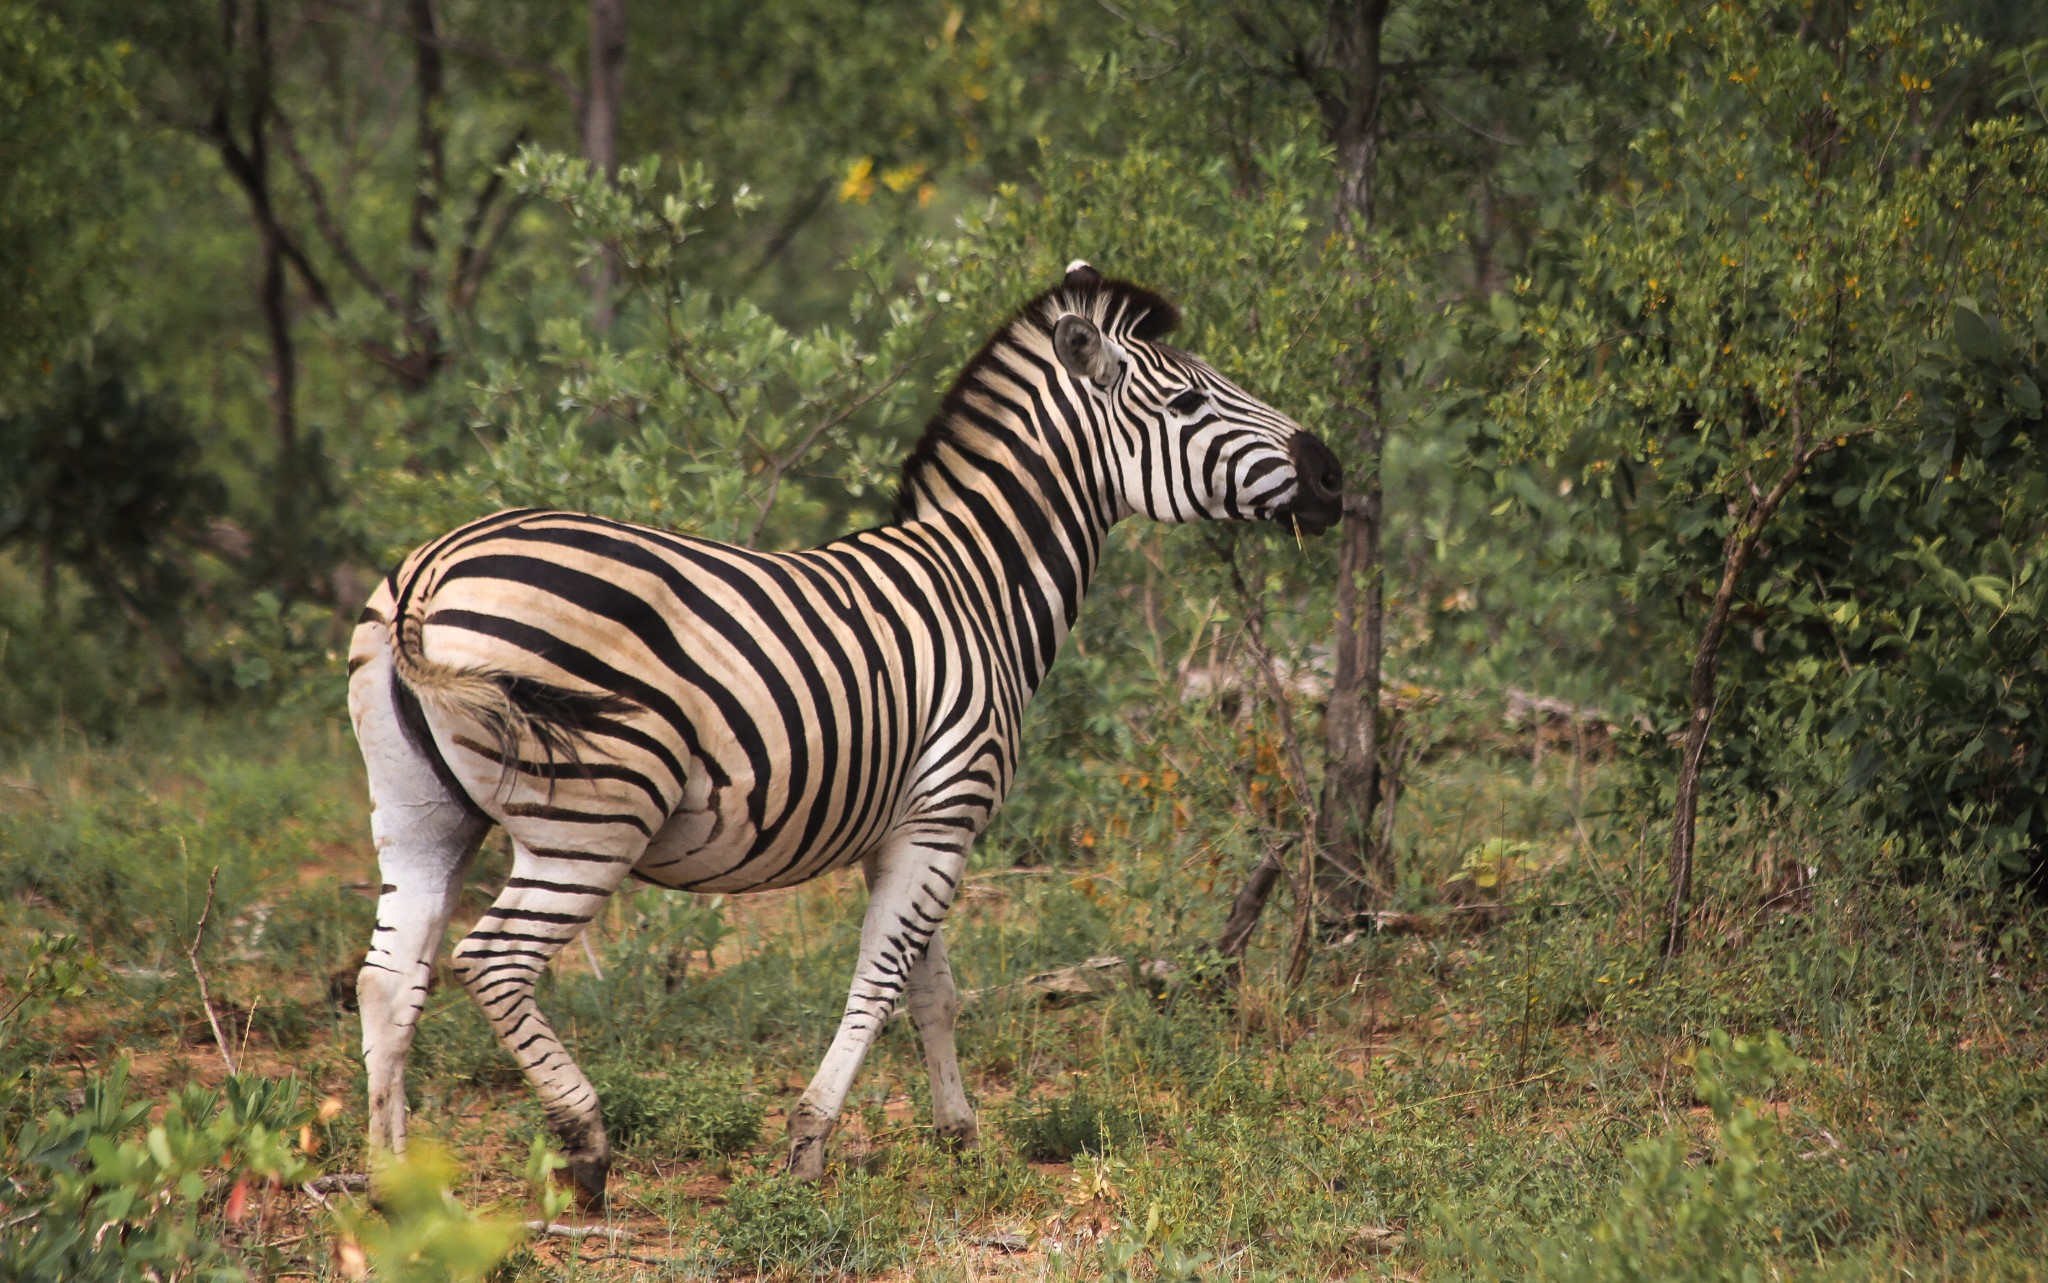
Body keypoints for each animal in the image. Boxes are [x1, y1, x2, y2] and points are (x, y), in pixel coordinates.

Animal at [348, 262, 1343, 1196]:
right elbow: (881, 979)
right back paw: (585, 1144)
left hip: (422, 813)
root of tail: (431, 570)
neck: (980, 584)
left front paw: (961, 1139)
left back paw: (396, 1191)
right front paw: (810, 1143)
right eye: (1187, 402)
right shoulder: (947, 812)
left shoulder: (916, 824)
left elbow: (934, 992)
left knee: (387, 978)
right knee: (493, 960)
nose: (1334, 473)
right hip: (594, 815)